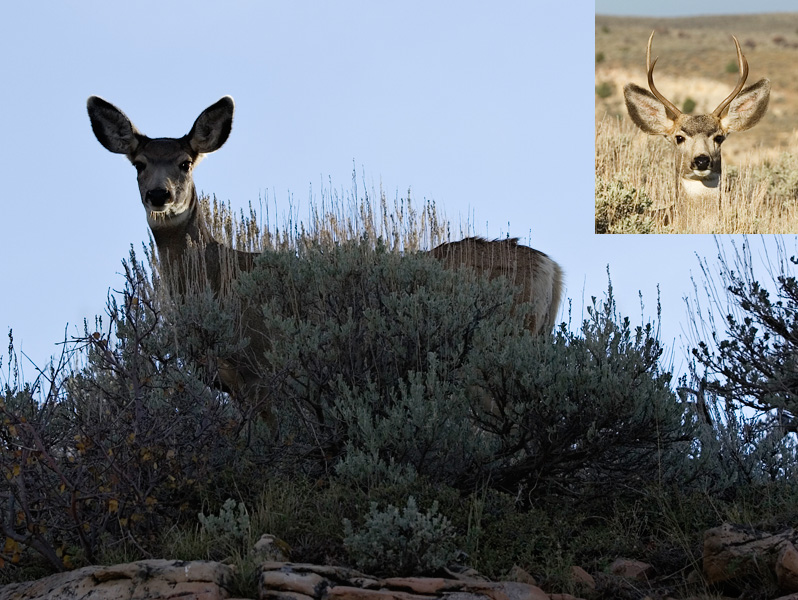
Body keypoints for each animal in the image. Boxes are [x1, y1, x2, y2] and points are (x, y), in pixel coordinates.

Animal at [87, 96, 563, 416]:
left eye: (186, 162)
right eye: (139, 164)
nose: (159, 194)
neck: (219, 277)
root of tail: (552, 268)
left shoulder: (262, 370)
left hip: (489, 357)